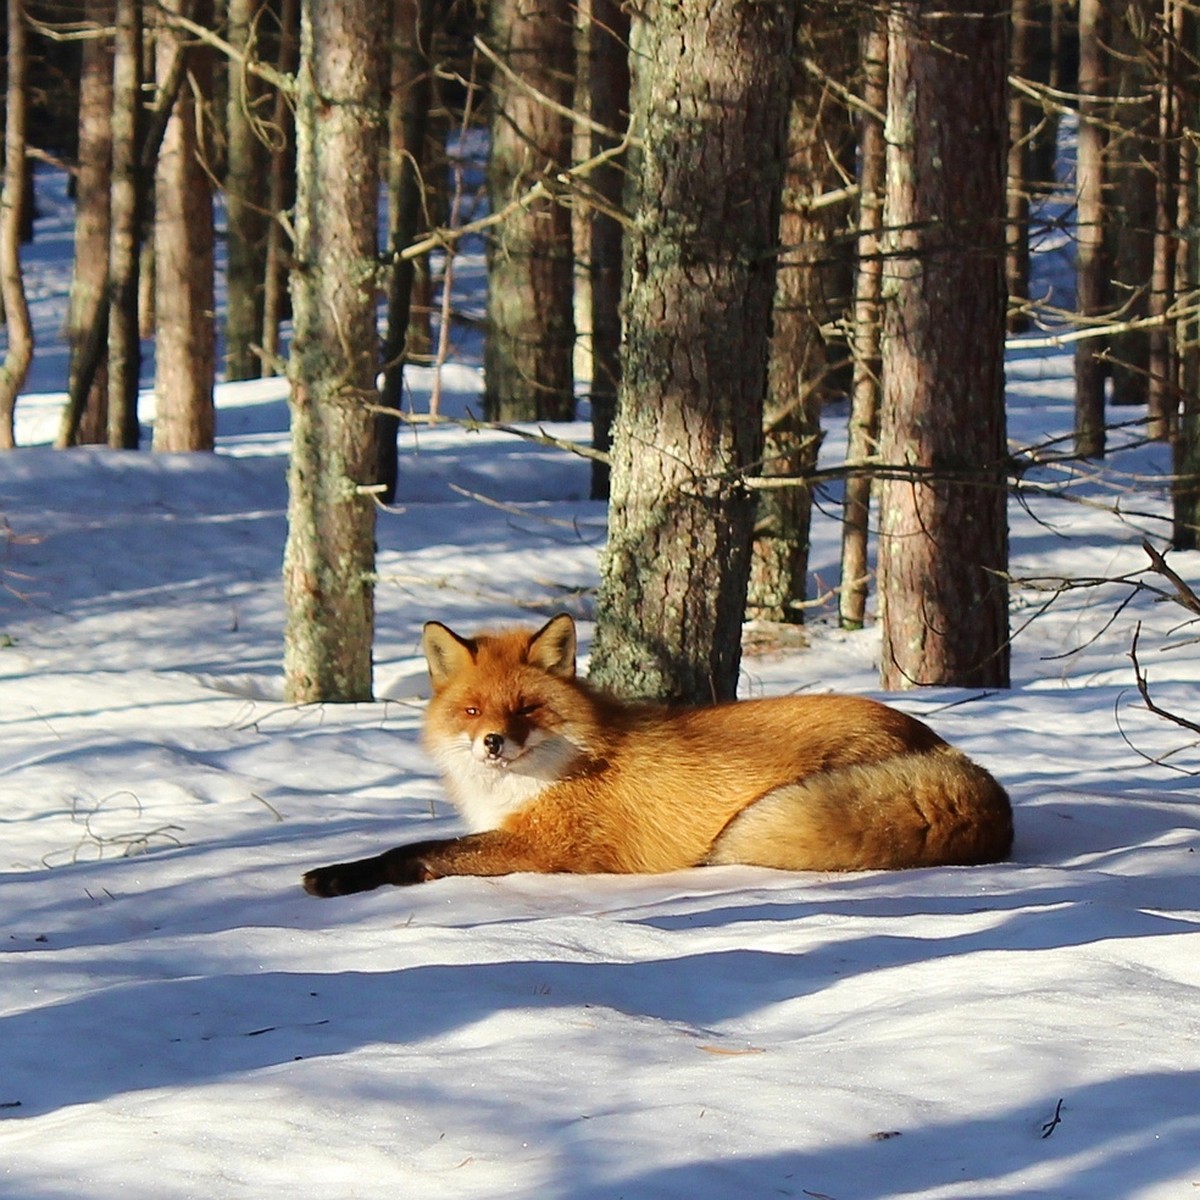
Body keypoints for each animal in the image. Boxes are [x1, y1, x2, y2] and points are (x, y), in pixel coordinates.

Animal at [302, 614, 1012, 897]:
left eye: (527, 709)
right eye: (473, 712)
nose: (494, 743)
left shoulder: (543, 847)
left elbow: (414, 852)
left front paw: (338, 877)